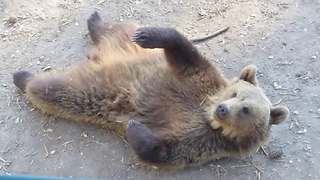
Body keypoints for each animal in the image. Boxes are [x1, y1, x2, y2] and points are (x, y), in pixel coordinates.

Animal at [12, 11, 290, 170]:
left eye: (246, 110)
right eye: (234, 94)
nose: (222, 109)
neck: (205, 112)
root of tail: (100, 56)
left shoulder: (202, 142)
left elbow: (164, 151)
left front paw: (135, 127)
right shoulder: (198, 79)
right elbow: (184, 53)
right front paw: (152, 35)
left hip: (92, 91)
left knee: (56, 91)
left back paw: (24, 78)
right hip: (127, 44)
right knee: (118, 28)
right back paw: (95, 19)